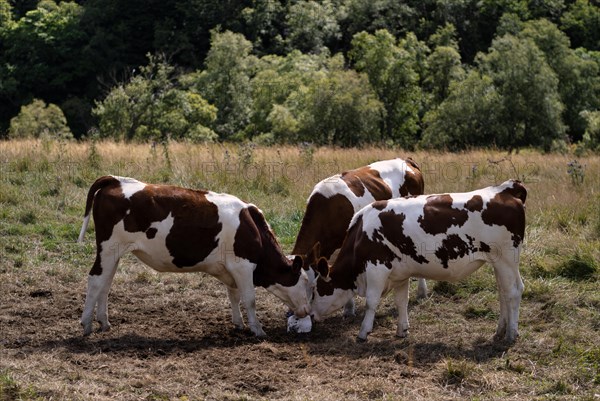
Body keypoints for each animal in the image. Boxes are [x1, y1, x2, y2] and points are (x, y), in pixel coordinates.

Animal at [78, 177, 314, 336]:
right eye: (305, 282)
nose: (307, 311)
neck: (252, 227)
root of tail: (116, 180)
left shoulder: (231, 269)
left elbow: (234, 296)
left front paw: (239, 323)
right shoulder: (243, 265)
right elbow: (250, 299)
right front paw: (257, 329)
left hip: (113, 253)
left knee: (105, 283)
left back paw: (104, 322)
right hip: (108, 248)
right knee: (95, 279)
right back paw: (87, 323)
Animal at [310, 180, 524, 342]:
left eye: (316, 290)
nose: (310, 316)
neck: (361, 233)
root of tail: (505, 189)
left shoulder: (376, 269)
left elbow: (371, 302)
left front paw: (363, 332)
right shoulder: (400, 274)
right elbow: (401, 301)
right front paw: (402, 330)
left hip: (506, 260)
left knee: (513, 292)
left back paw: (511, 334)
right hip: (499, 263)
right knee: (504, 293)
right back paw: (500, 330)